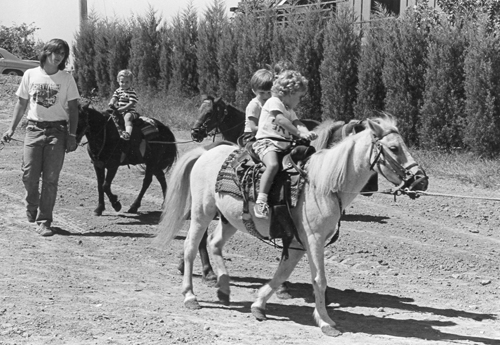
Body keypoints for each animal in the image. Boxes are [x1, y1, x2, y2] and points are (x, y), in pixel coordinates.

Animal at [154, 117, 428, 334]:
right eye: (394, 148)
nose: (421, 181)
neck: (322, 184)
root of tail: (205, 152)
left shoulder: (297, 242)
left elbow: (281, 275)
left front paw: (259, 306)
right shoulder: (314, 240)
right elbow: (319, 279)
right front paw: (326, 322)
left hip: (229, 219)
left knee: (214, 243)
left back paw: (223, 288)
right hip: (202, 212)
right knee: (191, 247)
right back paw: (190, 296)